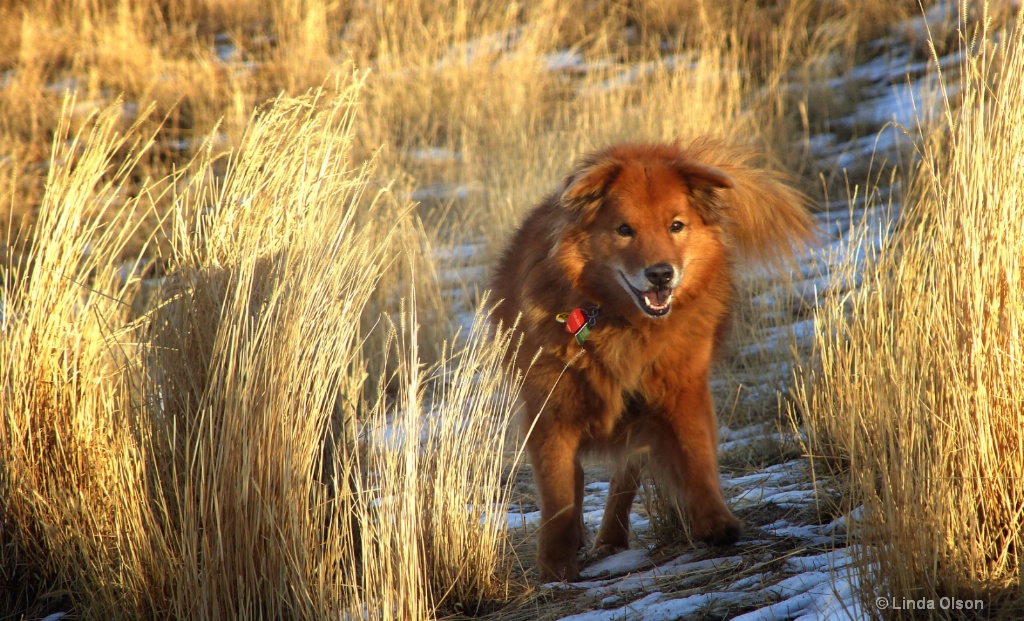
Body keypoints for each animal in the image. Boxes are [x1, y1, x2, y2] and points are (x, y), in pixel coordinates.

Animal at [487, 138, 815, 582]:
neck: (619, 323)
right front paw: (556, 564)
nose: (661, 274)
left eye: (676, 225)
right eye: (625, 230)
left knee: (626, 474)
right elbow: (558, 492)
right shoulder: (551, 411)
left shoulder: (682, 390)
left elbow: (696, 456)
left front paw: (715, 523)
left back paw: (612, 536)